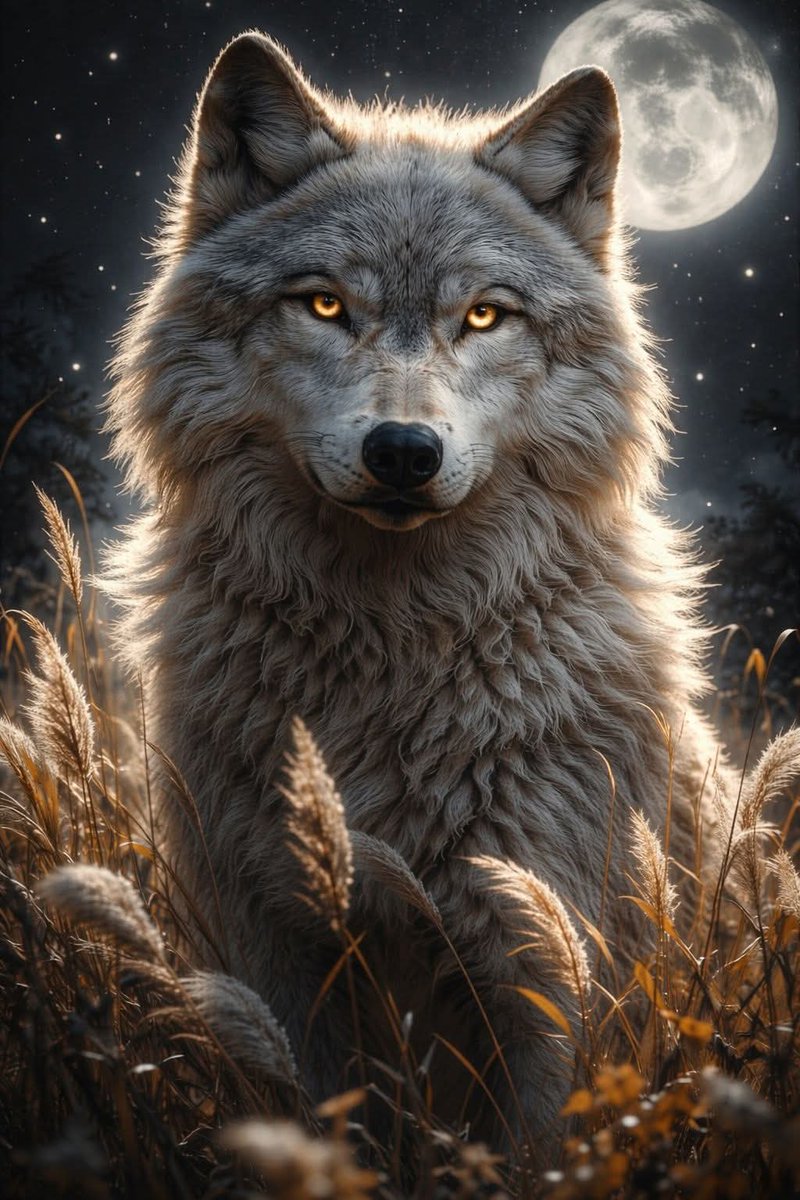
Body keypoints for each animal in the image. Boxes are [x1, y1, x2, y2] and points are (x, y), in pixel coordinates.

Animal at [107, 32, 720, 1151]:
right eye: (323, 304)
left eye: (482, 315)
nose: (401, 450)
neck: (390, 655)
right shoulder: (281, 955)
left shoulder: (550, 960)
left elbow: (539, 1151)